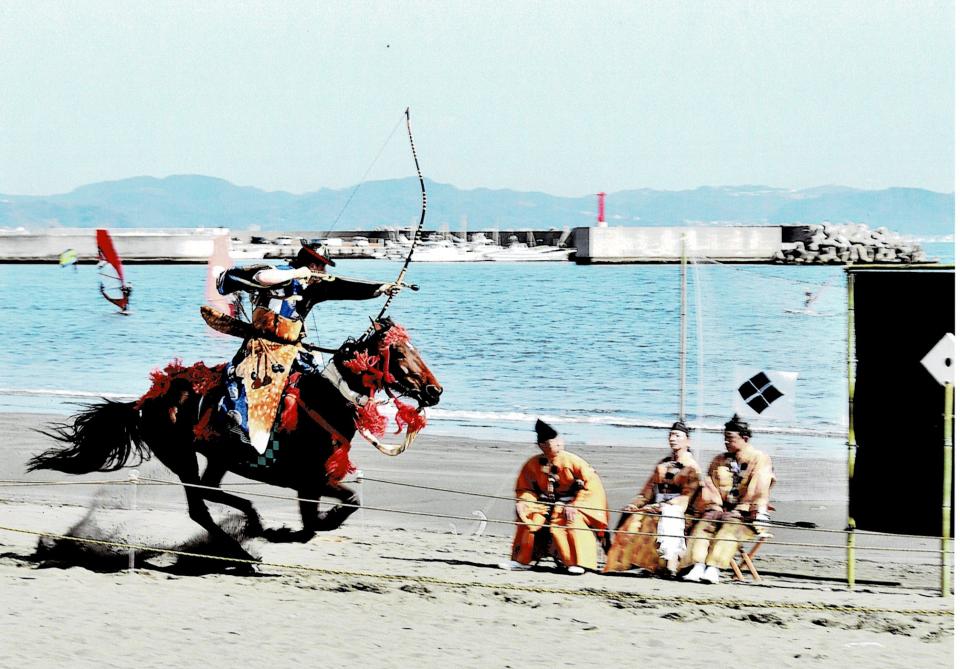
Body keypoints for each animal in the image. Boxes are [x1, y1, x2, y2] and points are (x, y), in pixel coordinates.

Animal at [28, 316, 442, 568]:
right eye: (400, 353)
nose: (434, 390)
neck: (323, 401)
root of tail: (148, 398)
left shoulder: (311, 482)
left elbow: (324, 517)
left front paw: (289, 529)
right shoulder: (310, 479)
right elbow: (333, 512)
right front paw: (286, 531)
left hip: (216, 457)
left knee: (209, 492)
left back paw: (248, 528)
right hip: (181, 453)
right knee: (199, 505)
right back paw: (243, 542)